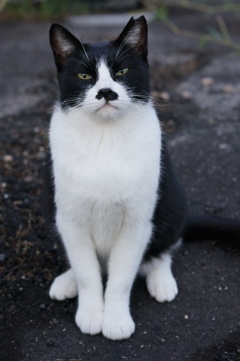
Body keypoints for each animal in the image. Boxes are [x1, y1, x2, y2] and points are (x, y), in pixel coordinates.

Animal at [46, 14, 238, 340]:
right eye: (84, 76)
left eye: (122, 71)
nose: (106, 92)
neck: (104, 137)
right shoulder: (71, 218)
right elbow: (87, 273)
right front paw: (90, 313)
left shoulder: (136, 222)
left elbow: (122, 277)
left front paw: (115, 320)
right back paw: (66, 281)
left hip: (173, 203)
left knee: (164, 249)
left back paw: (161, 280)